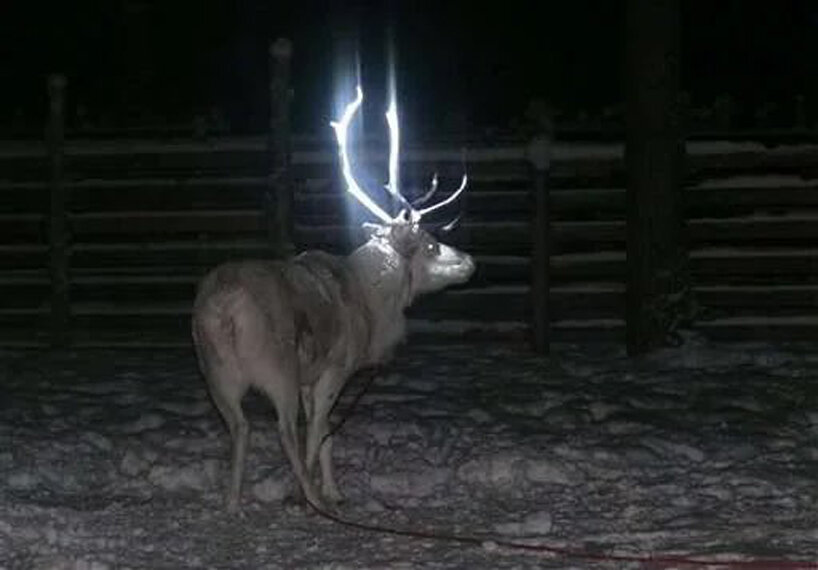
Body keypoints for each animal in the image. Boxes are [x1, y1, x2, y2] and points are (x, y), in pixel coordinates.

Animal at [191, 86, 475, 512]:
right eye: (430, 245)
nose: (471, 261)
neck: (372, 308)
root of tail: (225, 307)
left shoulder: (310, 379)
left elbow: (326, 433)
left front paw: (335, 490)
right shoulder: (334, 369)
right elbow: (319, 431)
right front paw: (311, 492)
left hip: (216, 371)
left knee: (240, 426)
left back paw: (232, 503)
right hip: (277, 365)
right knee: (284, 429)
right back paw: (307, 497)